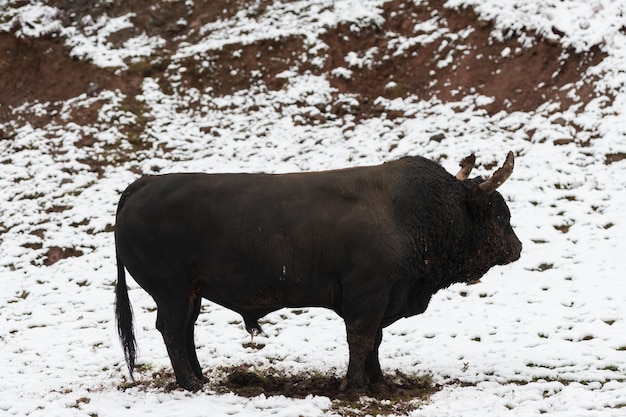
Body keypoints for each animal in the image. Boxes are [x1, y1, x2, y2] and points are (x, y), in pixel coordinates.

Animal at [114, 153, 520, 390]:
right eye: (501, 215)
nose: (517, 248)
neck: (410, 214)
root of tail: (144, 183)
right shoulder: (367, 298)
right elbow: (361, 339)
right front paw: (355, 387)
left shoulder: (381, 300)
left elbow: (374, 342)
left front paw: (378, 382)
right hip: (171, 291)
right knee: (172, 330)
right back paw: (190, 382)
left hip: (191, 292)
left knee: (186, 330)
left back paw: (201, 376)